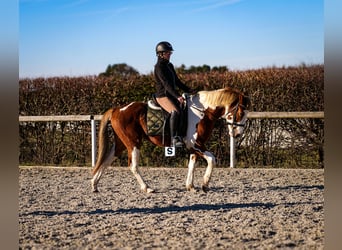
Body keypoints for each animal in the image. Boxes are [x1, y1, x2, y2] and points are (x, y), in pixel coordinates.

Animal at [91, 87, 251, 194]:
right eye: (241, 113)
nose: (238, 134)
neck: (203, 113)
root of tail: (117, 109)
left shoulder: (194, 146)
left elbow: (192, 164)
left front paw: (190, 186)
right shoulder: (196, 144)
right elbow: (212, 159)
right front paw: (205, 185)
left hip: (121, 144)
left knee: (107, 160)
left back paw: (94, 184)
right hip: (133, 143)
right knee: (133, 166)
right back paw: (147, 188)